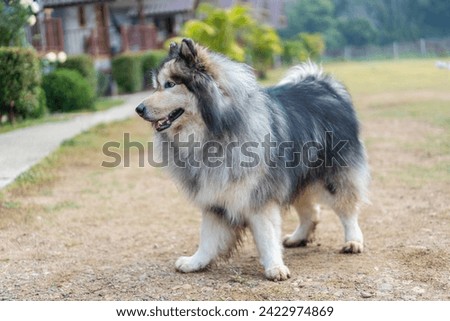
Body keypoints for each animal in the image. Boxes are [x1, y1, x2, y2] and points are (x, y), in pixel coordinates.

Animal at [136, 38, 370, 280]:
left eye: (170, 84)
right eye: (156, 85)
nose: (138, 109)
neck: (215, 131)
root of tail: (324, 84)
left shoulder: (260, 196)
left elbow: (266, 234)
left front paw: (275, 267)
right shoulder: (214, 198)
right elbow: (208, 237)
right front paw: (196, 262)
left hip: (333, 176)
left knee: (347, 207)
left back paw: (353, 241)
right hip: (296, 176)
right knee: (311, 211)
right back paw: (298, 238)